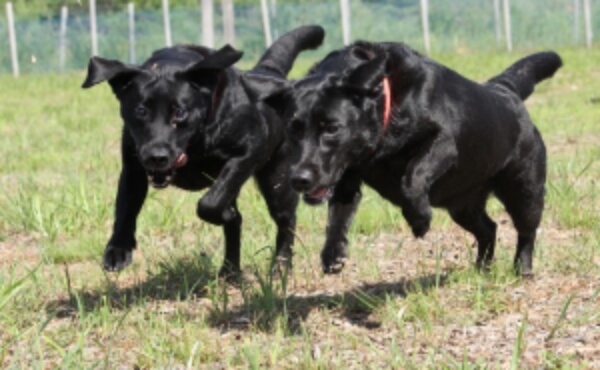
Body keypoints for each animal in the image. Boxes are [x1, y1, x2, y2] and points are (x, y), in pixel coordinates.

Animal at [82, 24, 326, 276]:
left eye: (180, 112)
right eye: (140, 110)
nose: (156, 157)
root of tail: (270, 72)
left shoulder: (248, 152)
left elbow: (210, 204)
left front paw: (224, 213)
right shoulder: (133, 166)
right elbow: (125, 207)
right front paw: (118, 250)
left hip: (277, 181)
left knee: (286, 221)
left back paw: (280, 268)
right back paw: (229, 272)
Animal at [244, 42, 564, 276]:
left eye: (331, 128)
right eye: (293, 129)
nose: (299, 179)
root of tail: (504, 89)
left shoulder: (443, 143)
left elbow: (411, 178)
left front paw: (419, 219)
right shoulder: (347, 177)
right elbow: (338, 216)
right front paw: (333, 254)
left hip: (524, 192)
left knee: (526, 232)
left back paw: (522, 270)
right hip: (462, 206)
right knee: (489, 229)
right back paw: (480, 270)